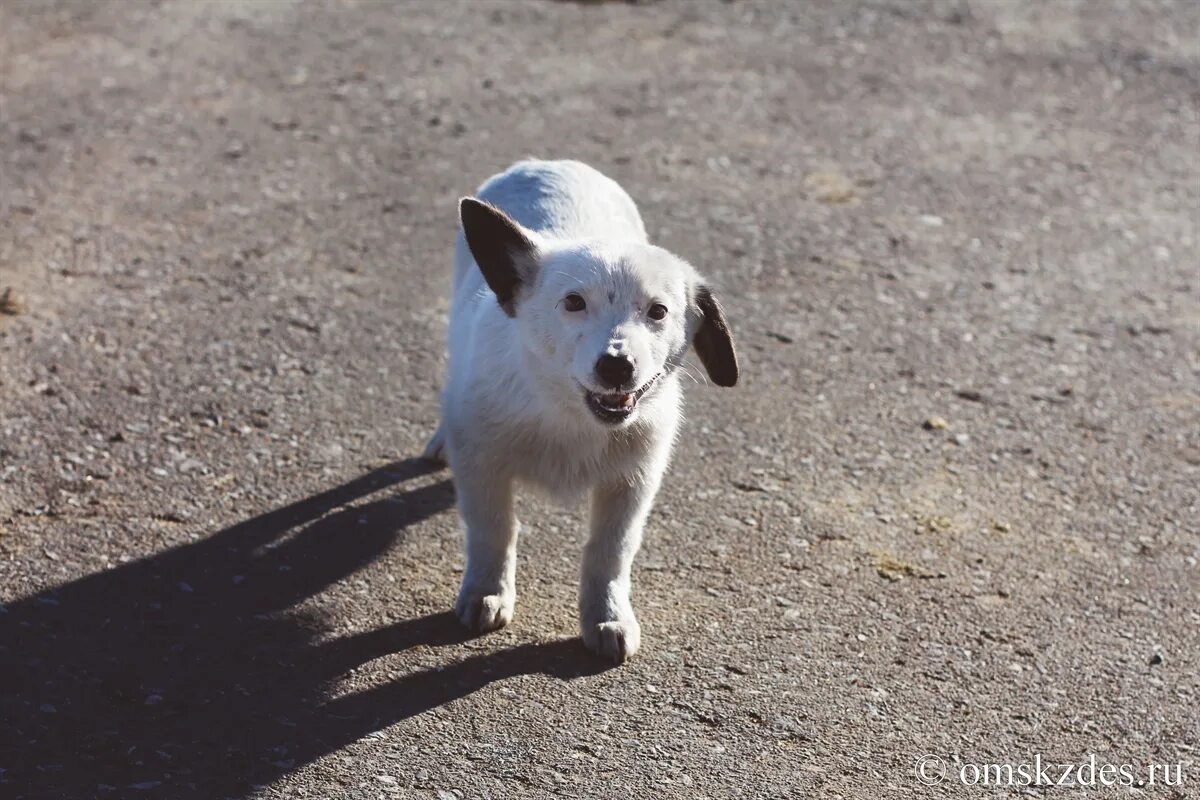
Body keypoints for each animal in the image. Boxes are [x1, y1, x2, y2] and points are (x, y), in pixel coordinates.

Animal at [427, 158, 734, 662]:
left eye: (658, 312)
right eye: (573, 302)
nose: (616, 366)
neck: (565, 413)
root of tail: (547, 163)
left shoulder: (633, 482)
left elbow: (610, 551)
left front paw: (607, 616)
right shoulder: (481, 467)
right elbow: (494, 530)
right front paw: (487, 591)